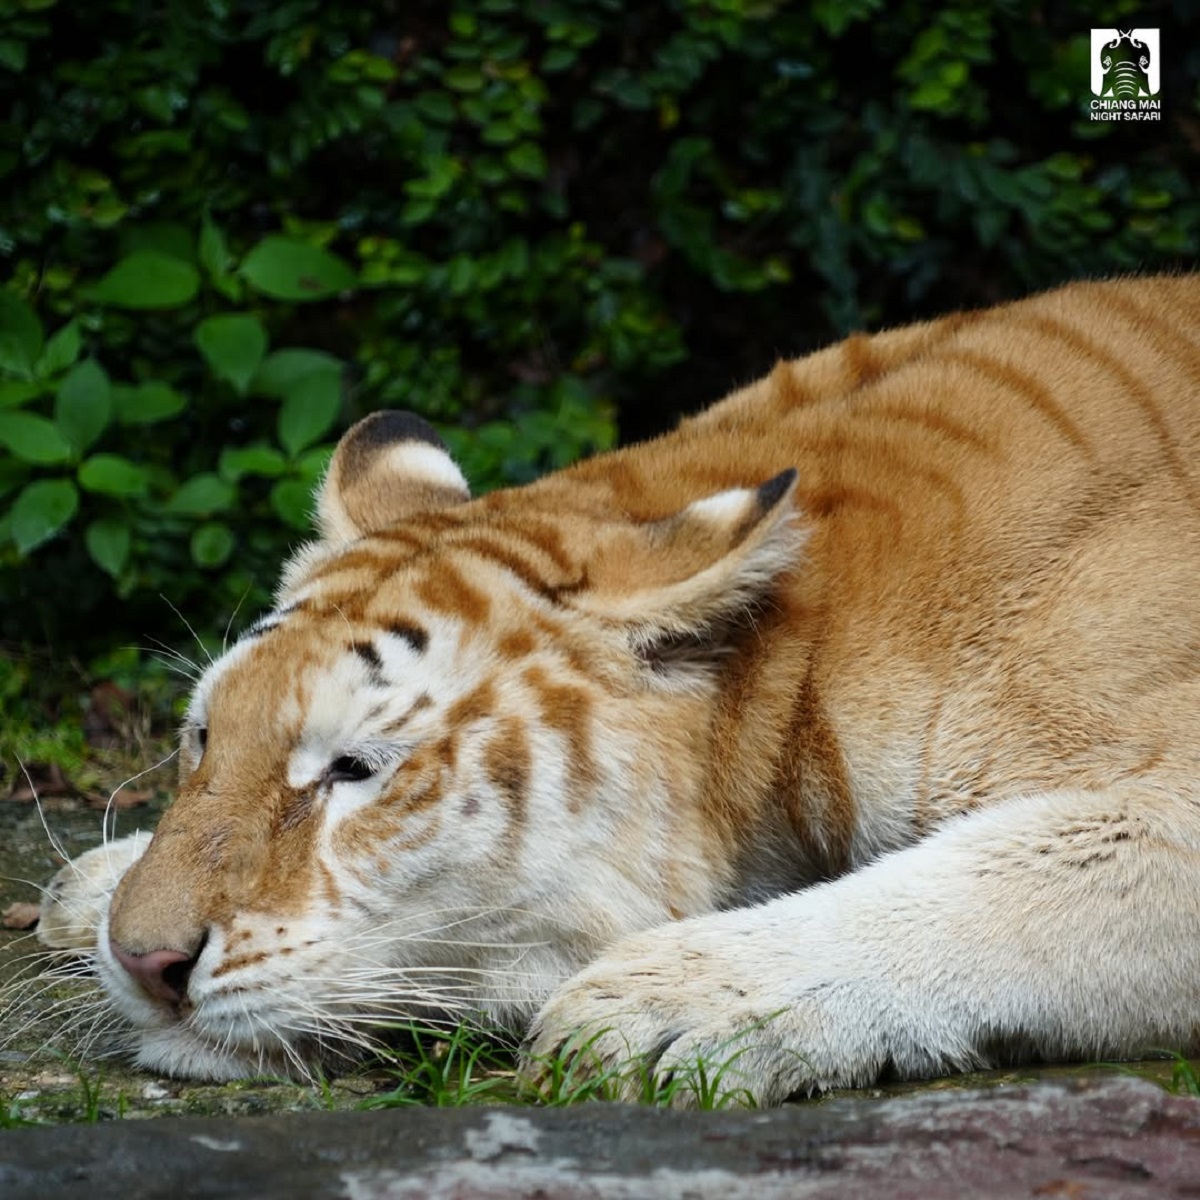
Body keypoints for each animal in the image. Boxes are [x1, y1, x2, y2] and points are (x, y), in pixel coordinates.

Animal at [37, 274, 1200, 1104]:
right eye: (202, 739)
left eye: (355, 771)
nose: (142, 961)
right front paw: (90, 884)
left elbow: (986, 878)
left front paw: (659, 1009)